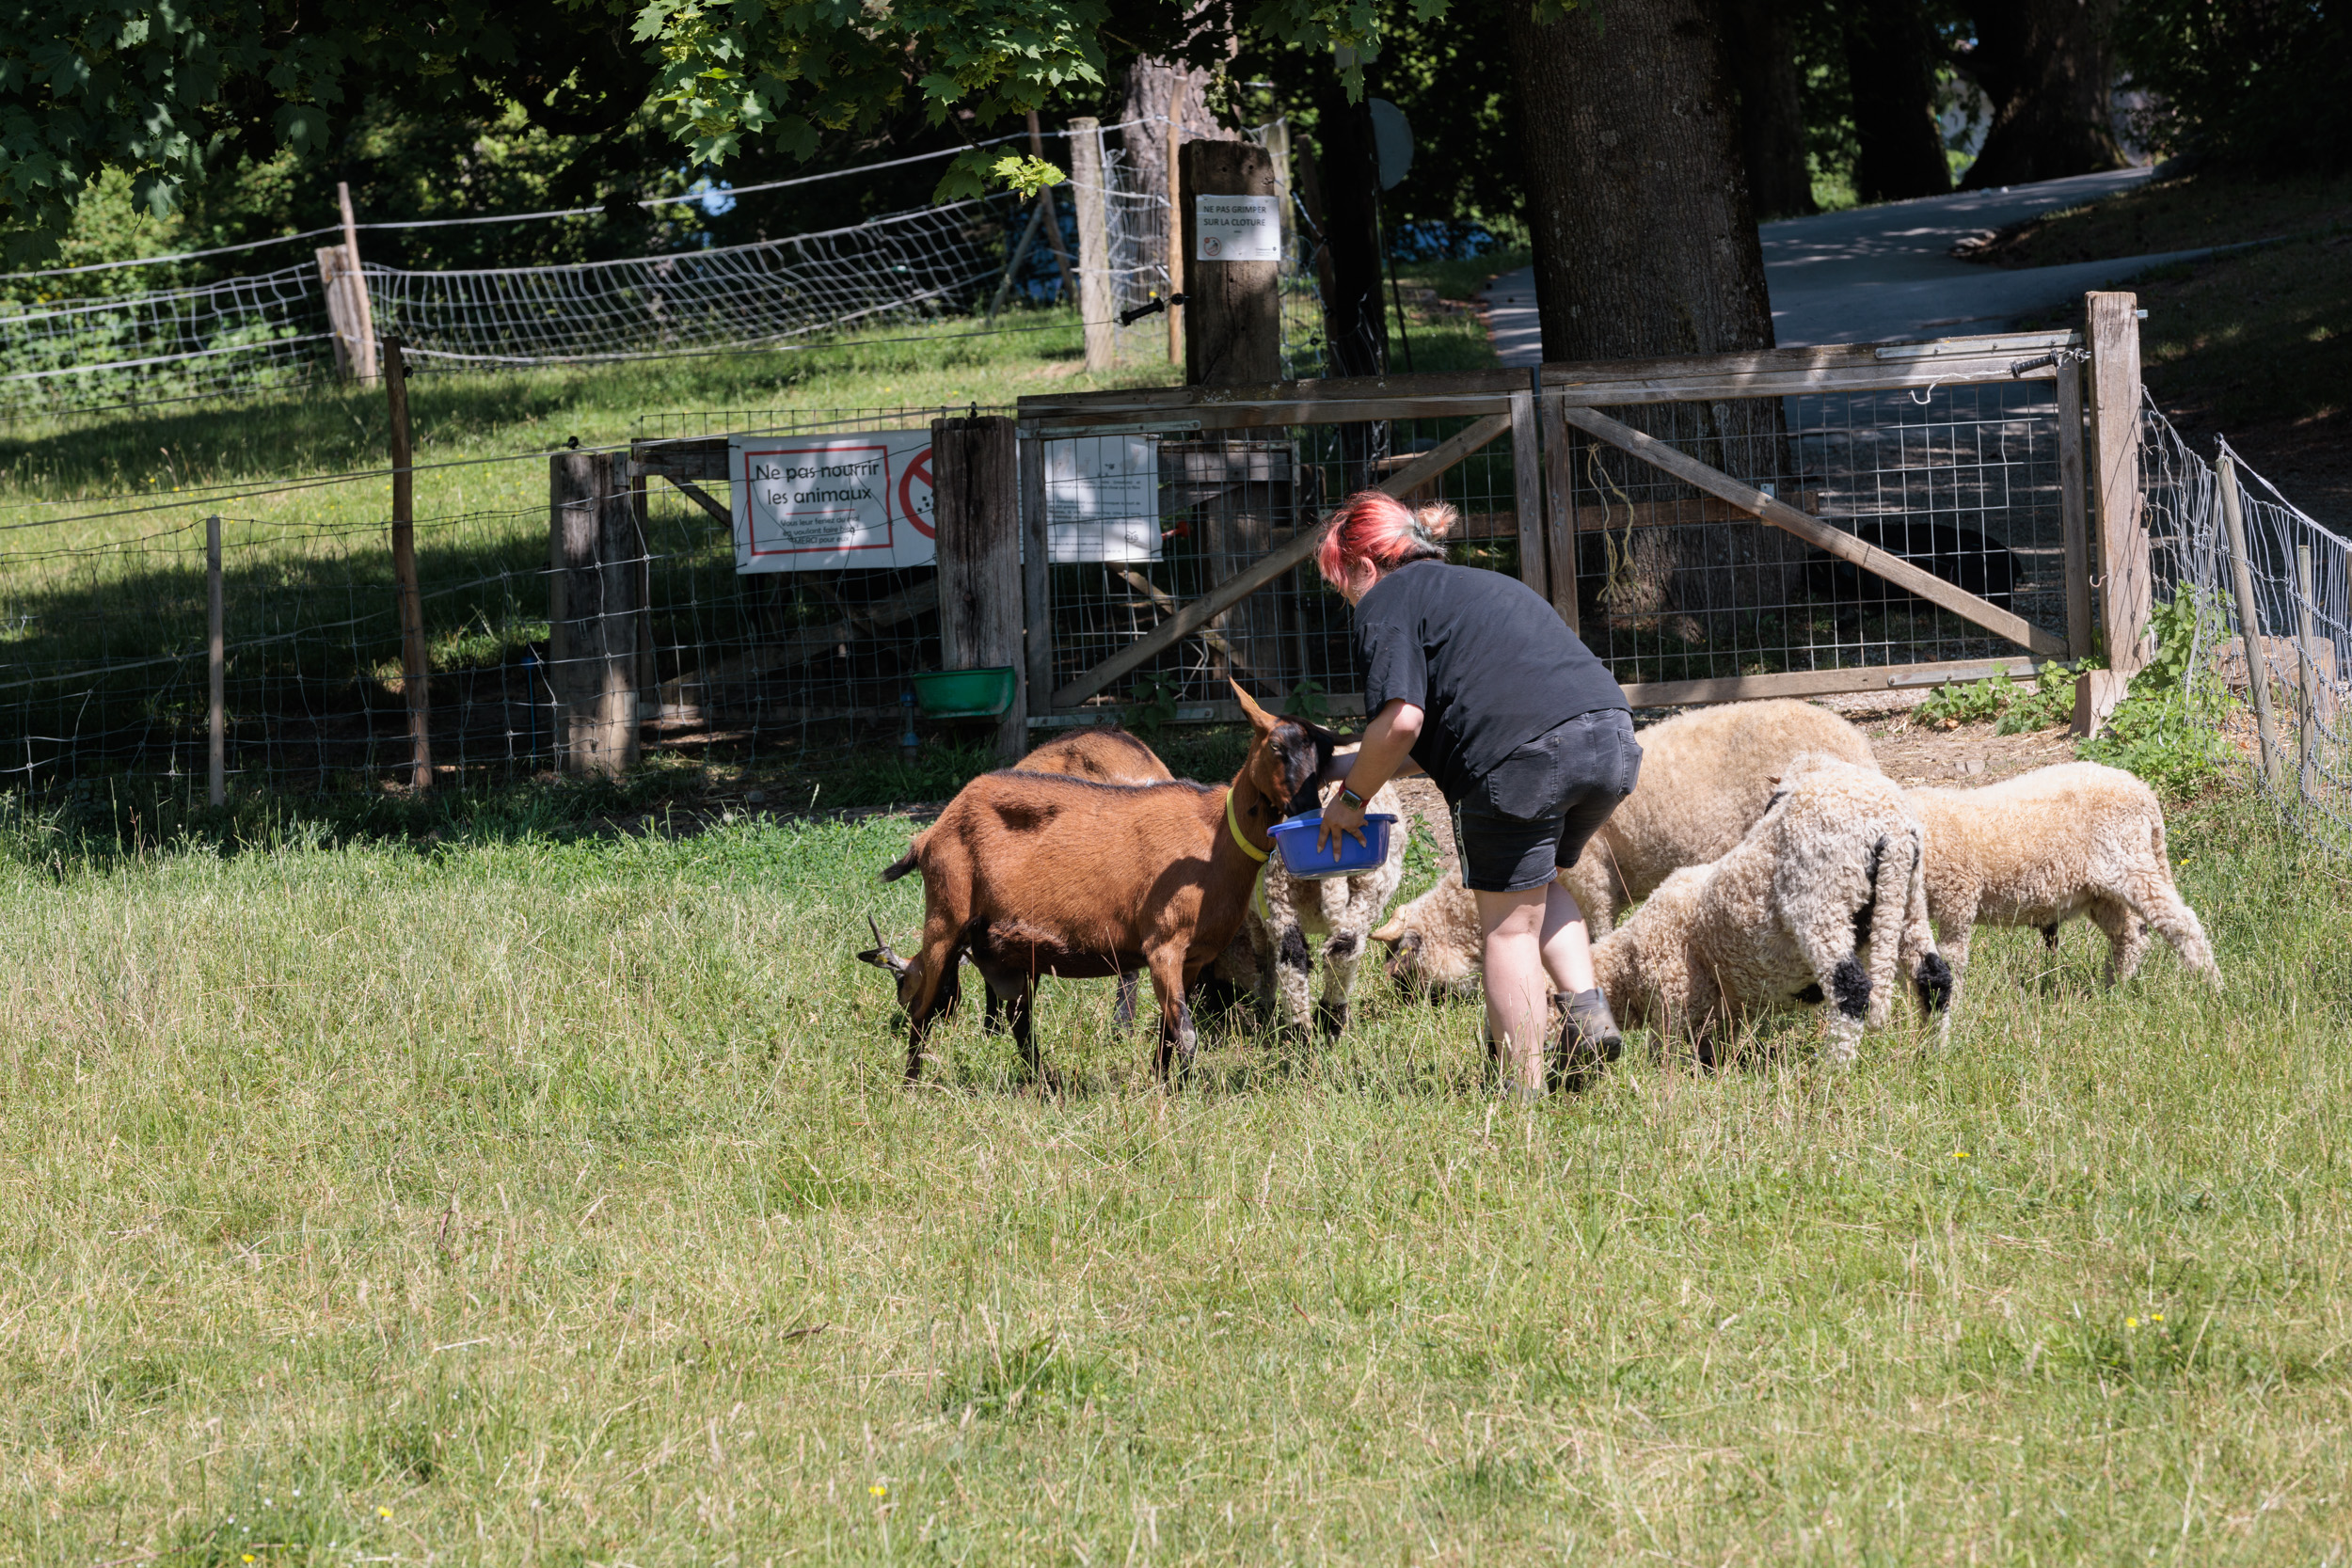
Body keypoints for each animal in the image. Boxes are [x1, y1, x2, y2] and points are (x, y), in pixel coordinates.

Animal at [856, 681, 1336, 1085]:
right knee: (924, 1013)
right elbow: (1185, 1034)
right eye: (1276, 746)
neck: (1214, 836)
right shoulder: (1163, 944)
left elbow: (1169, 1032)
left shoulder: (1193, 957)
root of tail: (929, 833)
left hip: (1001, 947)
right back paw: (912, 1086)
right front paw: (1179, 1093)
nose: (1309, 808)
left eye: (1324, 756)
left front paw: (1162, 1086)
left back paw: (1043, 1083)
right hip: (945, 916)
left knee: (1017, 1022)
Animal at [1590, 756, 1957, 1071]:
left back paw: (1831, 1073)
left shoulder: (1675, 993)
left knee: (1850, 990)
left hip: (1821, 902)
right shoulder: (1718, 1010)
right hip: (1909, 902)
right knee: (1934, 978)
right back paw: (1931, 1055)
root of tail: (1892, 829)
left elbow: (1665, 1047)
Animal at [1910, 761, 2220, 991]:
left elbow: (1952, 955)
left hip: (2127, 859)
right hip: (2101, 889)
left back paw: (2211, 986)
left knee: (2181, 922)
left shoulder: (1957, 894)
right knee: (2129, 935)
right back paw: (2113, 990)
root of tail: (2143, 793)